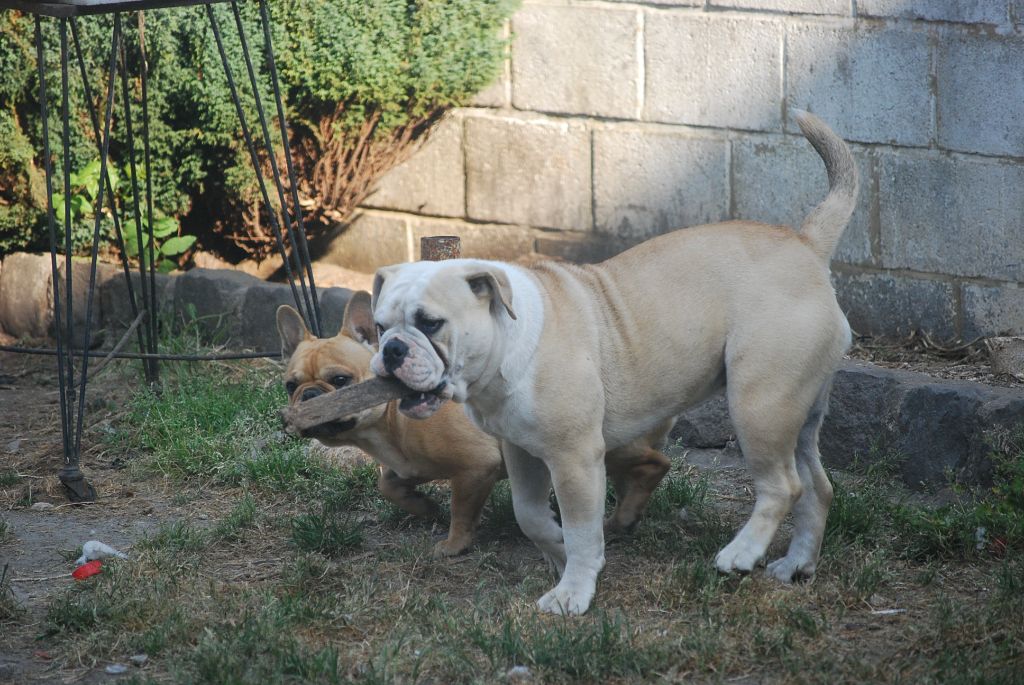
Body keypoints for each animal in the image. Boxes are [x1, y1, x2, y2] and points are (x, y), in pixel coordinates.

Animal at [368, 111, 856, 614]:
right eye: (380, 326)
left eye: (430, 323)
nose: (393, 349)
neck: (507, 345)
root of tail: (805, 244)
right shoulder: (522, 453)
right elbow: (530, 516)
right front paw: (558, 550)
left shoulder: (575, 459)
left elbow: (583, 530)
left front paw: (573, 590)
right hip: (798, 410)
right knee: (817, 487)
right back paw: (795, 565)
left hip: (759, 404)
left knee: (783, 485)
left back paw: (741, 553)